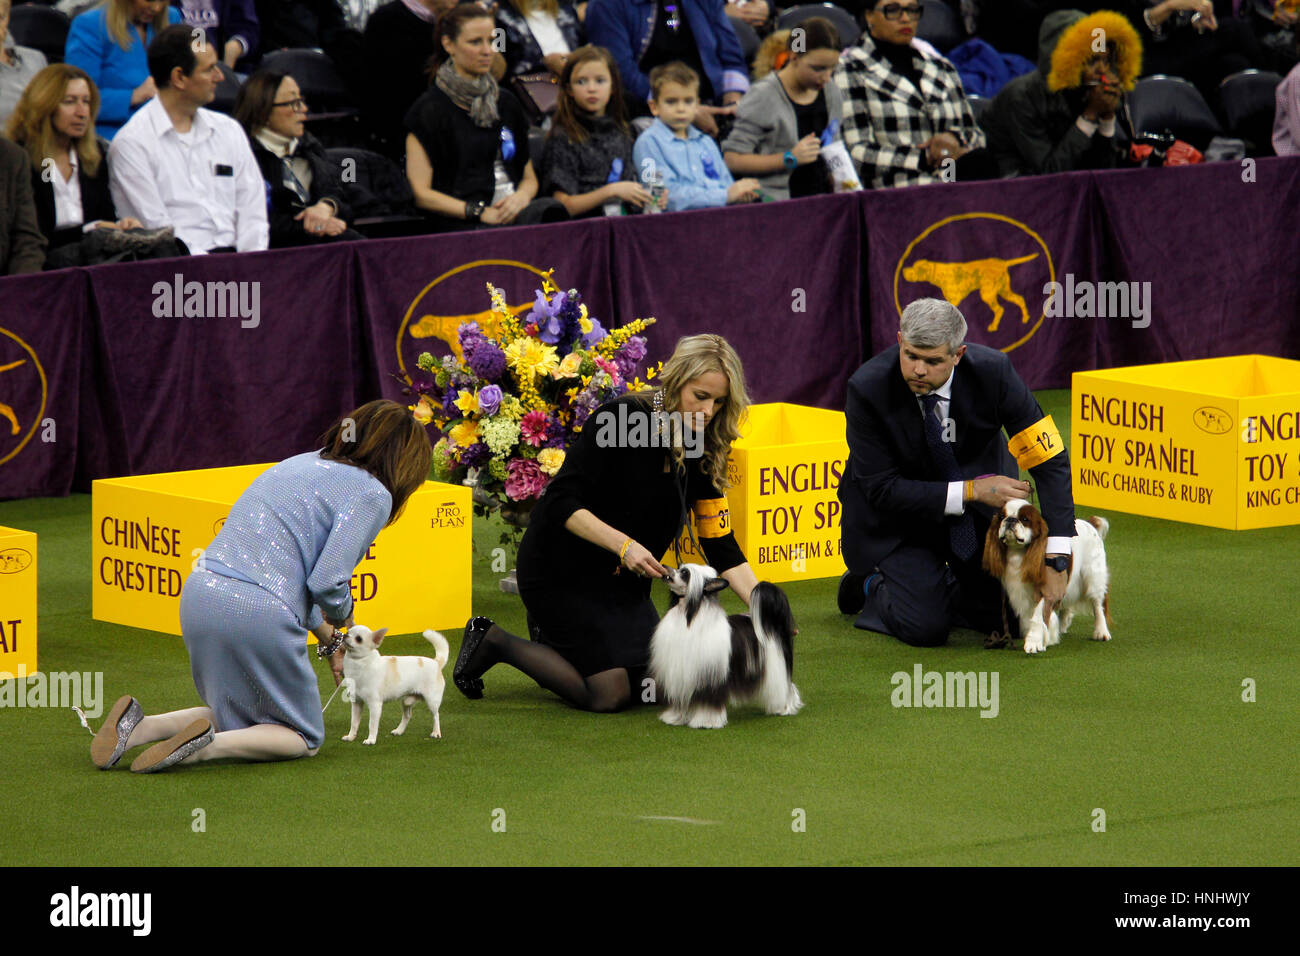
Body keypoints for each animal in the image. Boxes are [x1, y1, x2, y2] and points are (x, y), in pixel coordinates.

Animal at [650, 564, 800, 728]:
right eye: (679, 567)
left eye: (684, 573)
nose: (665, 566)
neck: (687, 616)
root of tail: (770, 624)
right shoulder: (680, 676)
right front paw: (676, 718)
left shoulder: (708, 676)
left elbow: (708, 701)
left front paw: (706, 722)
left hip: (775, 667)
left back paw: (784, 707)